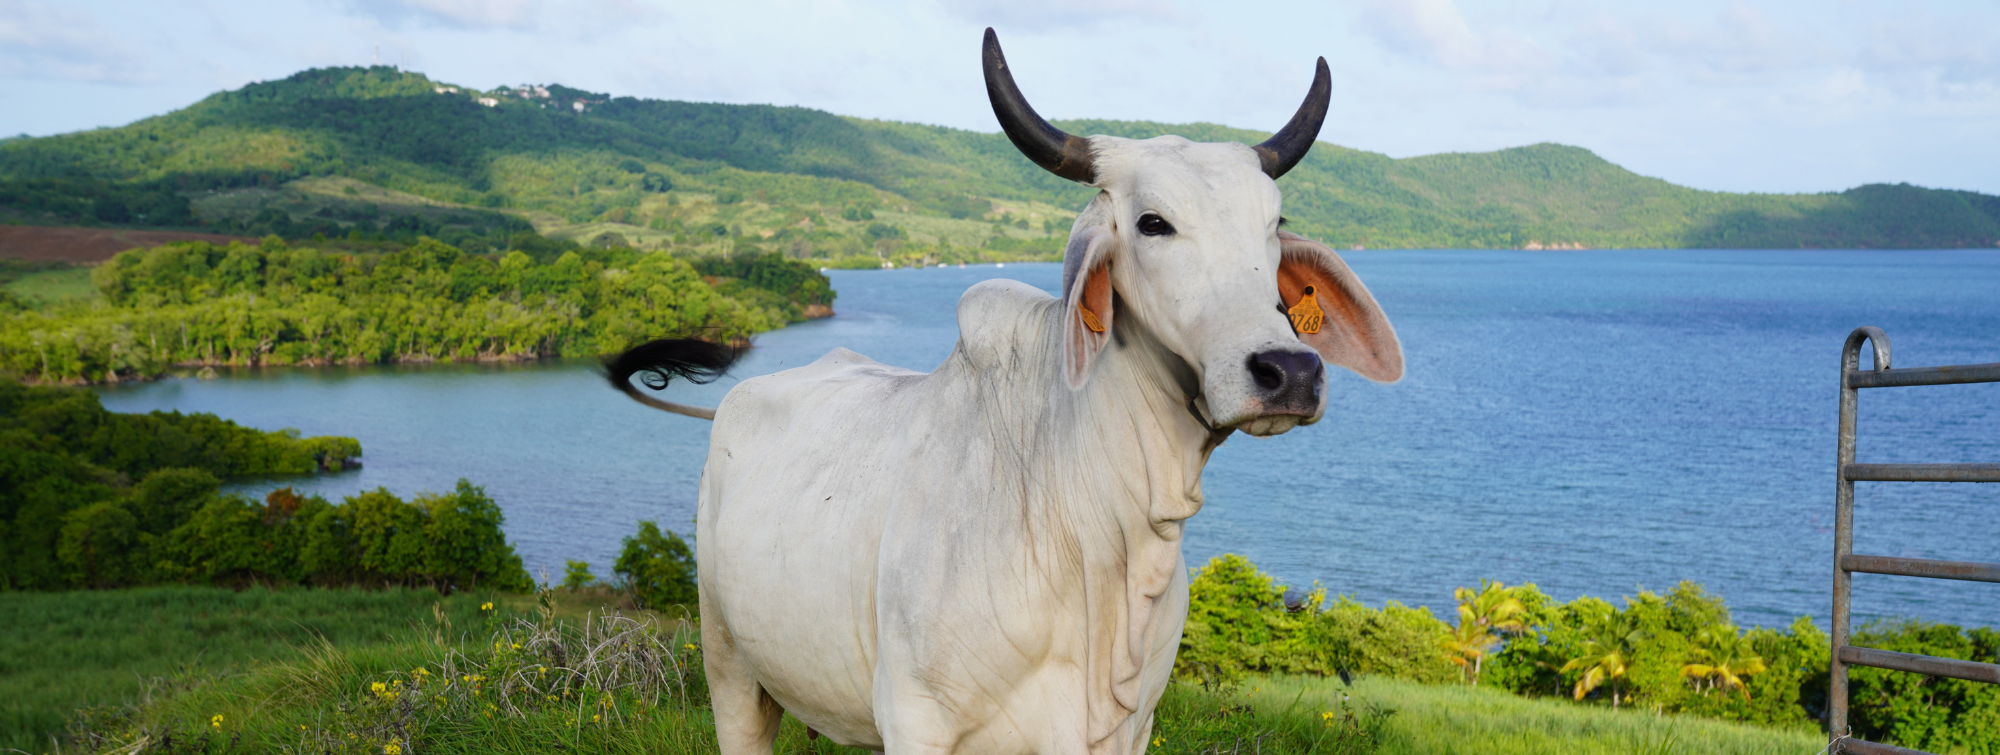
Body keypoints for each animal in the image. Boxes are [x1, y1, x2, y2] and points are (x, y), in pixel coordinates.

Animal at [607, 29, 1402, 755]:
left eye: (1275, 225)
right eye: (1153, 223)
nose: (1289, 371)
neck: (1098, 532)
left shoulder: (1131, 729)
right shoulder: (916, 720)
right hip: (730, 668)